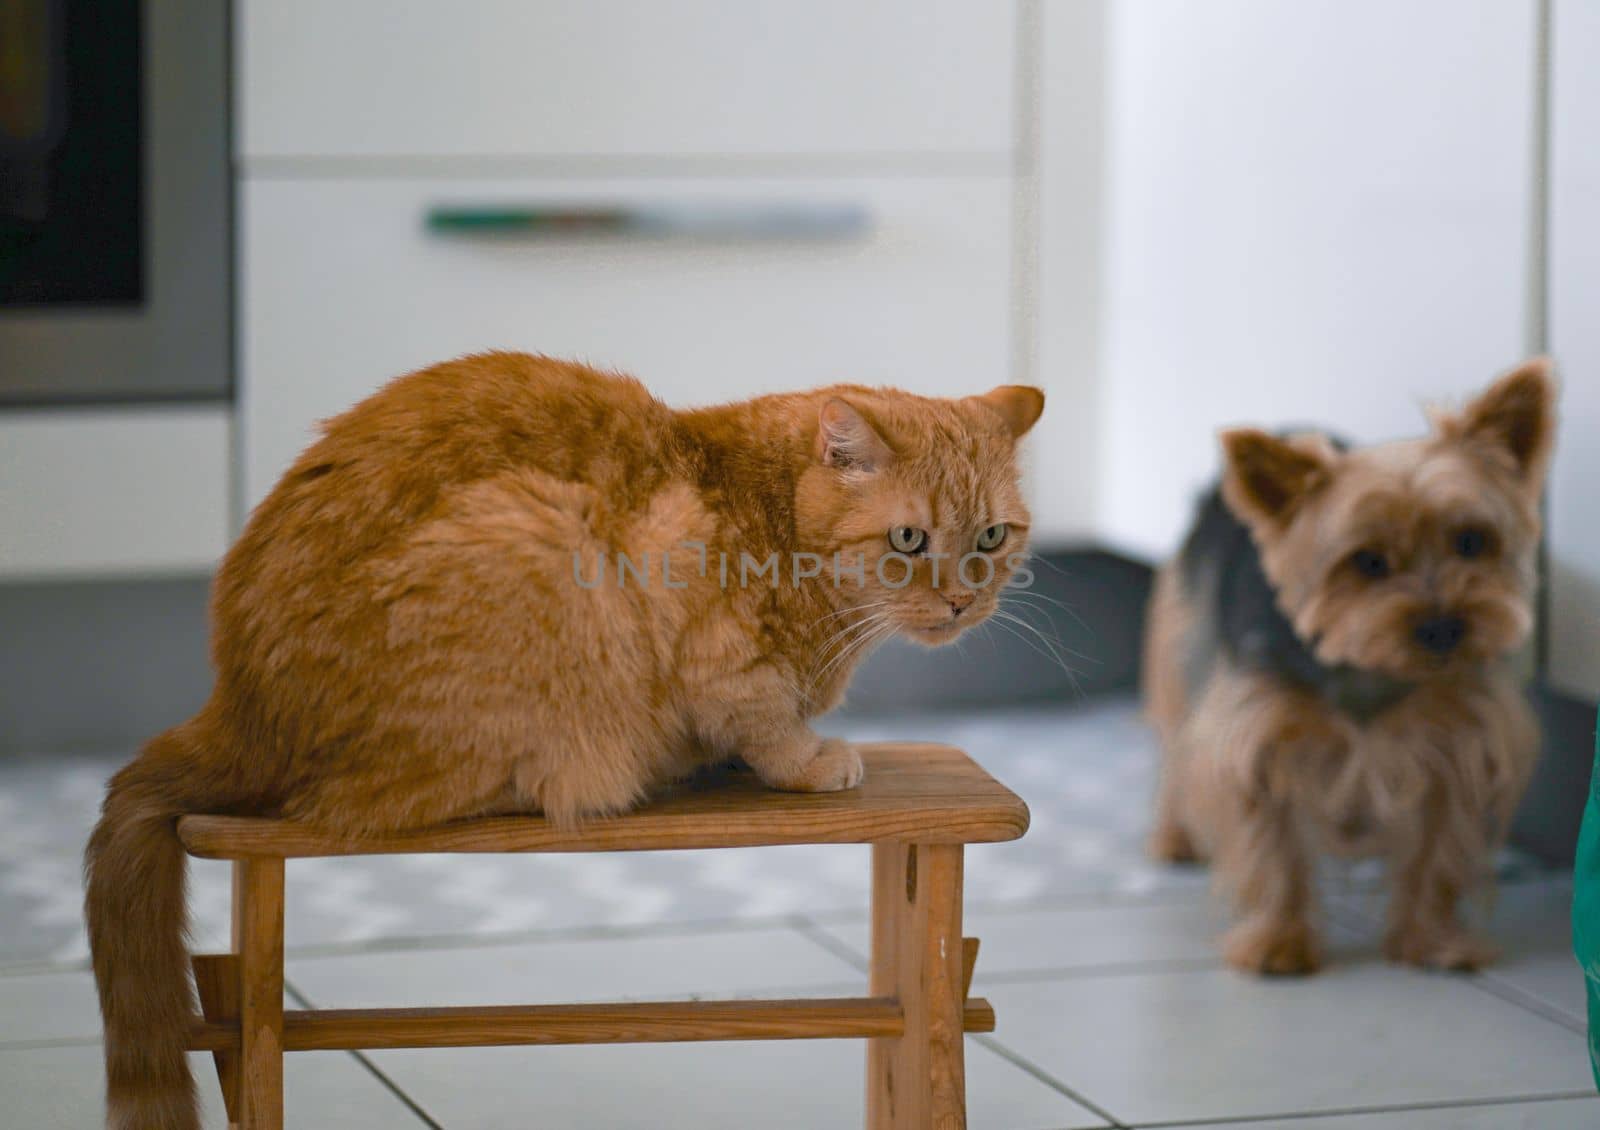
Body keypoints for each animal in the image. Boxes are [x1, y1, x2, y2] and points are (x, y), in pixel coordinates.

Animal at [81, 347, 1043, 1120]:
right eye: (910, 538)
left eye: (993, 536)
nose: (963, 601)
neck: (770, 512)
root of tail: (236, 705)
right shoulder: (712, 634)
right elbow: (765, 719)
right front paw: (808, 758)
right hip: (545, 536)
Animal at [1145, 356, 1555, 973]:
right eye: (1368, 561)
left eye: (1470, 540)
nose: (1443, 626)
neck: (1371, 669)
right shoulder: (1257, 728)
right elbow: (1271, 843)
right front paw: (1279, 943)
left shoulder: (1456, 738)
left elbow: (1440, 848)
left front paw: (1431, 940)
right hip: (1183, 636)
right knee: (1177, 744)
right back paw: (1175, 836)